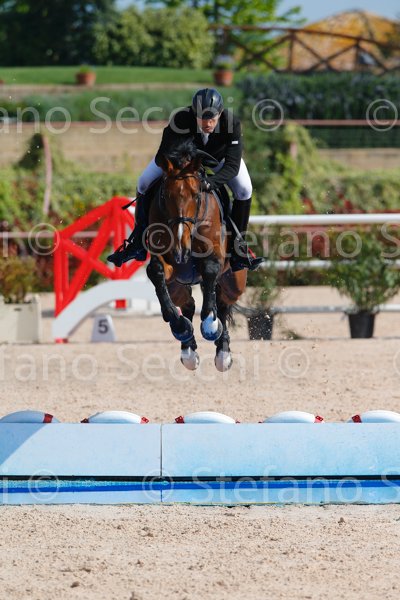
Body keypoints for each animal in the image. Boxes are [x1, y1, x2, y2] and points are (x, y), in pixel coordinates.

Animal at [145, 139, 247, 372]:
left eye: (197, 194)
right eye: (165, 195)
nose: (181, 247)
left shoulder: (214, 259)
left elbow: (209, 273)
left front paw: (210, 324)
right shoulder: (168, 265)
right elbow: (156, 271)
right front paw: (178, 325)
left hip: (235, 282)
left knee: (223, 302)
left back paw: (222, 353)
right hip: (177, 285)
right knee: (188, 303)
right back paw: (188, 348)